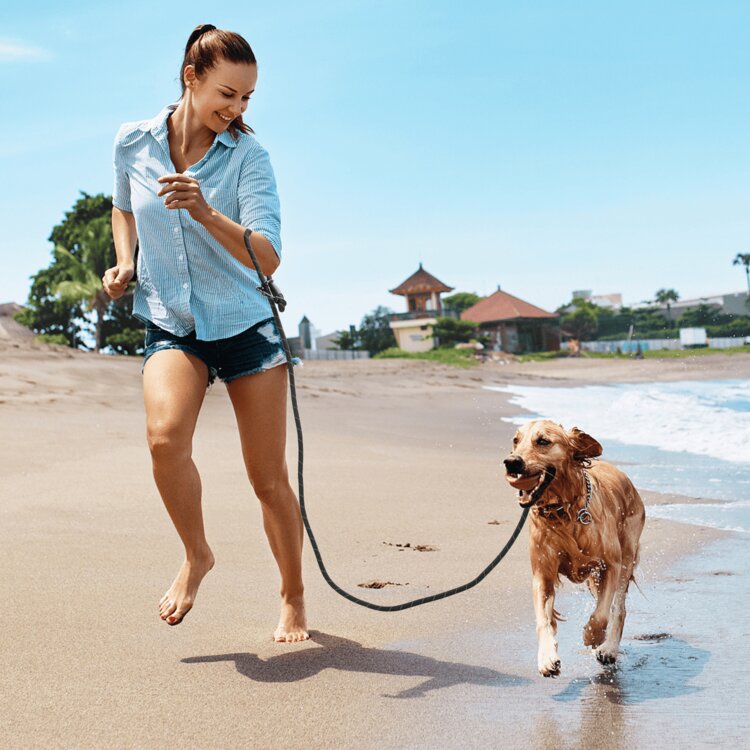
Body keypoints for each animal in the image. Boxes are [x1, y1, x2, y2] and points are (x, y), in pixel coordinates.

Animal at [508, 420, 648, 680]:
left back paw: (608, 648)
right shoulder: (543, 574)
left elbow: (602, 614)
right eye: (516, 440)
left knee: (619, 608)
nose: (511, 462)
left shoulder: (610, 565)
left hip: (627, 556)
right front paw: (547, 659)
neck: (563, 511)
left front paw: (592, 636)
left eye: (543, 441)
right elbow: (543, 619)